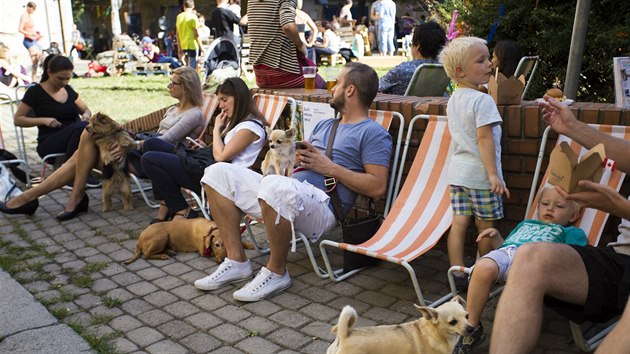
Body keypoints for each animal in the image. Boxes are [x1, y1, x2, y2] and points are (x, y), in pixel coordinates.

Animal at [122, 218, 253, 266]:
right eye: (217, 245)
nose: (222, 260)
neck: (211, 228)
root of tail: (139, 239)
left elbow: (242, 243)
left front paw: (250, 245)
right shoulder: (203, 251)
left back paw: (169, 251)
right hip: (162, 235)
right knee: (147, 254)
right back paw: (163, 255)